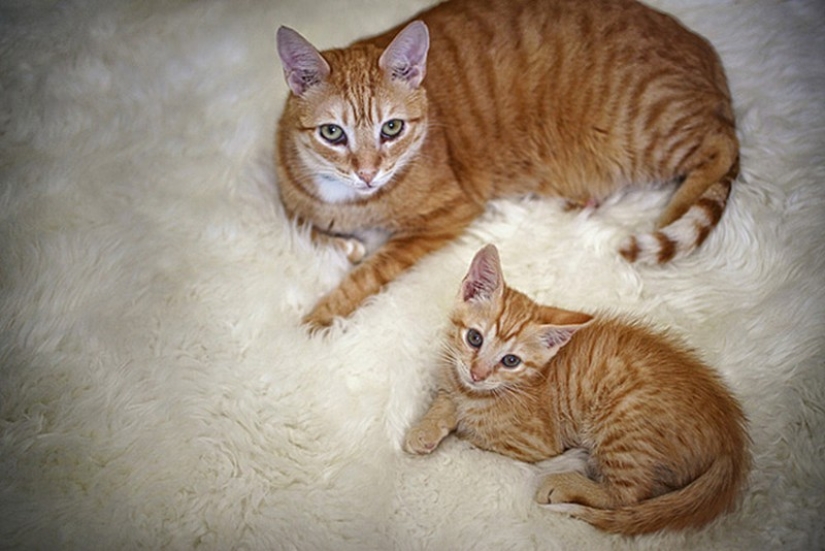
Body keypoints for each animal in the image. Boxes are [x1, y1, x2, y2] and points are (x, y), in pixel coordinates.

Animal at [274, 0, 736, 330]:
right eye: (332, 133)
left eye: (392, 128)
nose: (367, 173)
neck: (353, 204)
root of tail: (705, 51)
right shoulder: (290, 199)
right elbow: (303, 225)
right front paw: (343, 245)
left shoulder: (445, 216)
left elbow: (370, 272)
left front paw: (319, 319)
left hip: (644, 130)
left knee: (720, 150)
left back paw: (673, 209)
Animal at [402, 245, 748, 536]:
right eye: (474, 338)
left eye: (511, 360)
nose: (478, 373)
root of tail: (731, 437)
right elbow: (447, 398)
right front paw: (426, 428)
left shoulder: (534, 442)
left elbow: (471, 431)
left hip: (622, 420)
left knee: (628, 495)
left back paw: (565, 479)